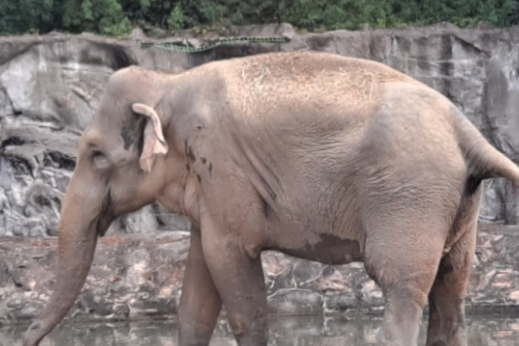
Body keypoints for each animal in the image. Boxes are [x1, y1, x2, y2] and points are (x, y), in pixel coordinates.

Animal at [22, 50, 519, 346]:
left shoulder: (223, 169)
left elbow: (234, 276)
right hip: (455, 204)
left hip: (407, 195)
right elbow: (197, 293)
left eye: (95, 155)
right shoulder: (210, 188)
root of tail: (466, 129)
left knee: (400, 286)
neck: (169, 83)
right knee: (451, 289)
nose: (27, 338)